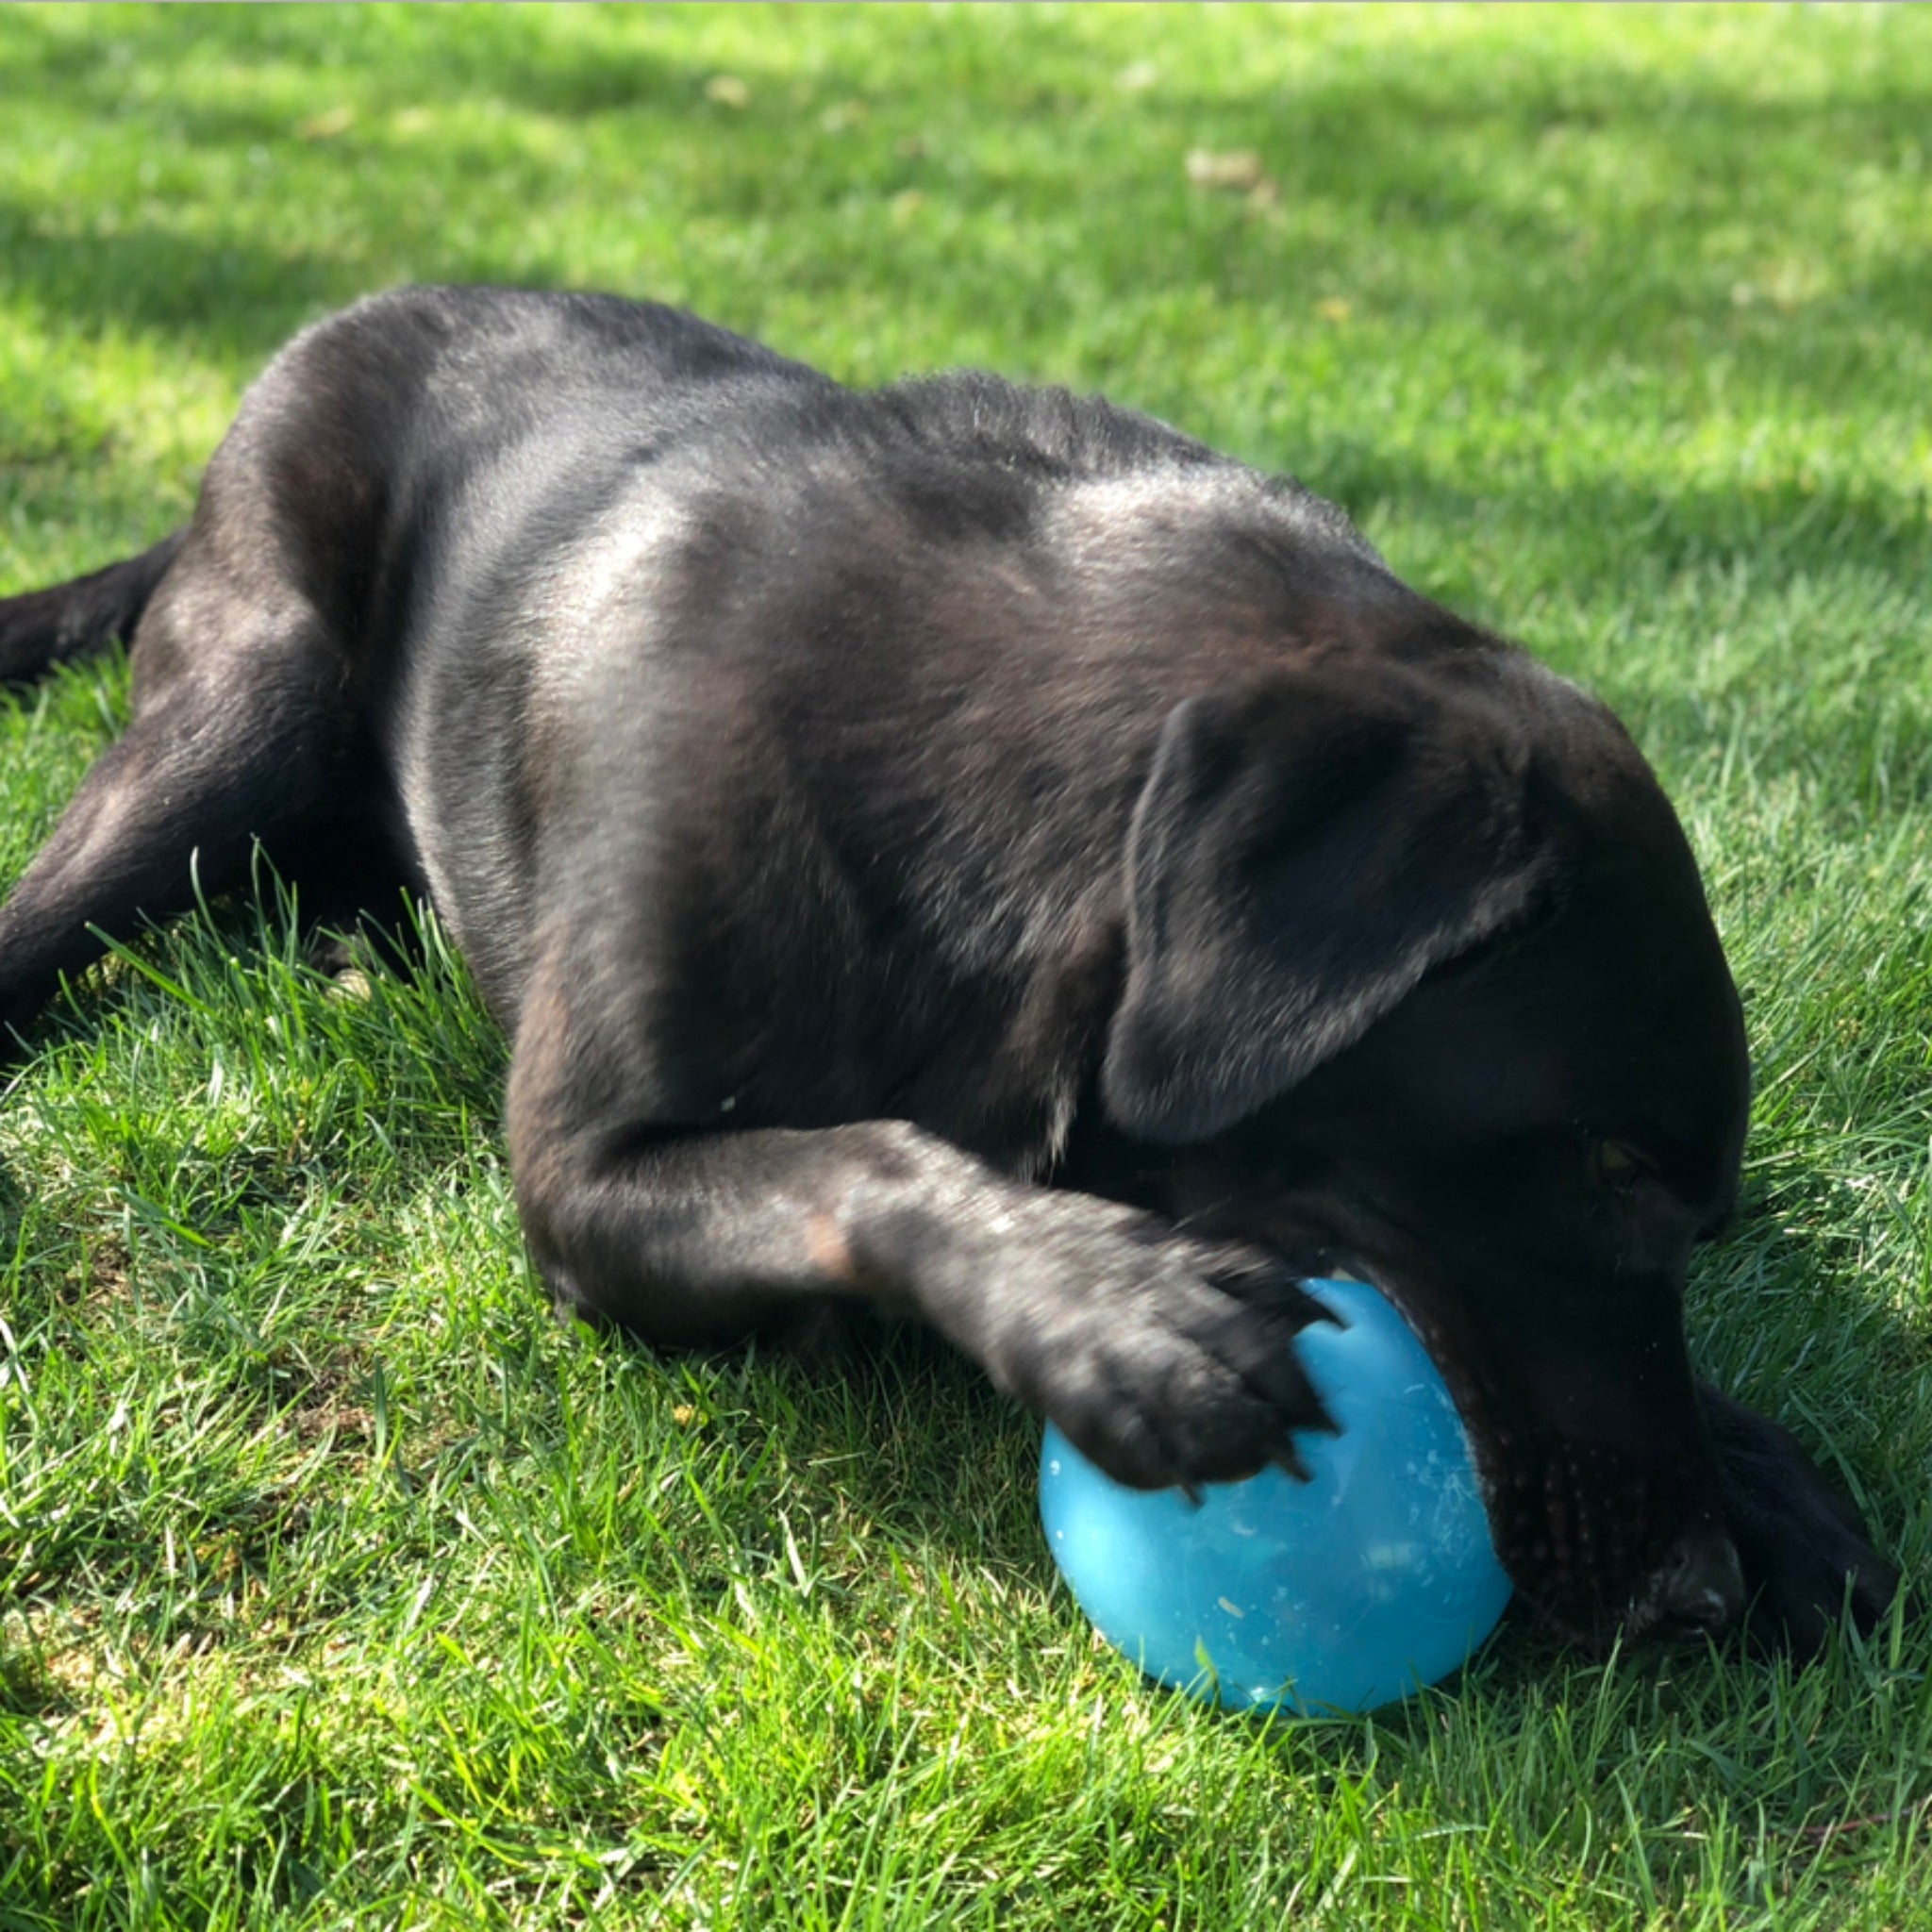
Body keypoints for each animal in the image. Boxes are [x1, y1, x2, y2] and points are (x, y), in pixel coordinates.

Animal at [0, 282, 1901, 1645]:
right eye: (1598, 1166)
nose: (1691, 1589)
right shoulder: (586, 1179)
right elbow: (858, 1158)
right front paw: (1110, 1307)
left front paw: (1762, 1468)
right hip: (240, 705)